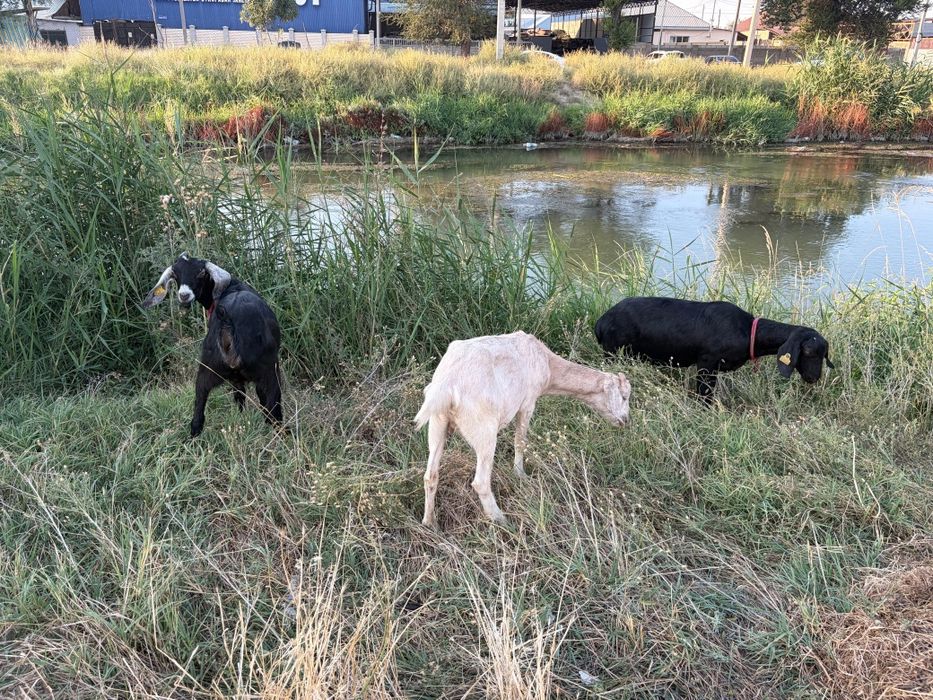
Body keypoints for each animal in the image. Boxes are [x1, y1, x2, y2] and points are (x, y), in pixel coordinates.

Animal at [142, 253, 282, 437]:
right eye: (176, 275)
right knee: (274, 411)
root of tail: (228, 320)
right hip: (268, 371)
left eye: (201, 273)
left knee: (199, 410)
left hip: (209, 366)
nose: (184, 295)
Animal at [414, 331, 631, 526]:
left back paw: (430, 522)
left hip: (437, 422)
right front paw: (520, 474)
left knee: (430, 475)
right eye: (624, 396)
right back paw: (501, 520)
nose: (625, 420)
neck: (548, 364)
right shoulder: (528, 403)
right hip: (483, 428)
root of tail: (447, 385)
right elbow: (520, 441)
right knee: (481, 481)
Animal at [594, 296, 834, 401]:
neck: (748, 332)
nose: (813, 378)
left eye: (824, 354)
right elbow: (705, 396)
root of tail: (601, 322)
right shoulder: (706, 364)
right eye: (808, 351)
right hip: (612, 352)